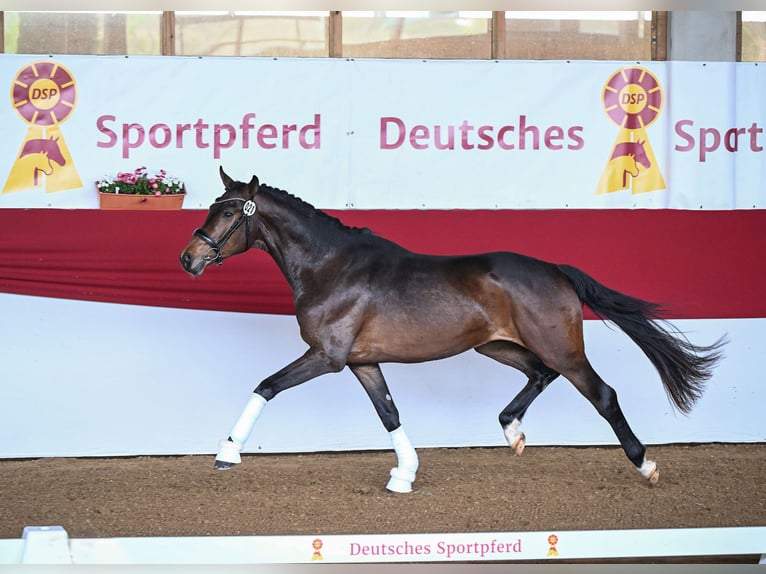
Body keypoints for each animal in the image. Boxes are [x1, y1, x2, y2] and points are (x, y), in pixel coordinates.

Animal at [180, 167, 726, 493]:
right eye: (212, 206)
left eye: (227, 211)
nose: (189, 258)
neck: (330, 266)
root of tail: (556, 269)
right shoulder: (362, 362)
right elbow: (389, 413)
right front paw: (404, 475)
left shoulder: (328, 357)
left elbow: (266, 386)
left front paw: (226, 453)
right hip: (498, 347)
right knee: (539, 375)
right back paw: (513, 432)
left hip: (561, 350)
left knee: (603, 394)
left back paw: (645, 464)